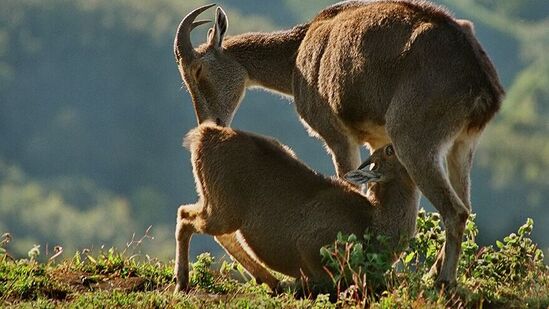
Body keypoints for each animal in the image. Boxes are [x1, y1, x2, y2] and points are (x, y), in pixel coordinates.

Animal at [176, 122, 420, 292]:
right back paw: (182, 282)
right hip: (224, 208)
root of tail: (201, 136)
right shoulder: (310, 245)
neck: (372, 225)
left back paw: (272, 282)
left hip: (220, 205)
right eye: (390, 150)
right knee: (185, 216)